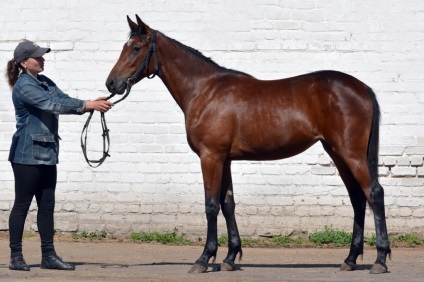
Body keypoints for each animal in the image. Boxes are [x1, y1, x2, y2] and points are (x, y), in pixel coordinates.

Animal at [105, 14, 390, 274]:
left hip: (350, 153)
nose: (111, 83)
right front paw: (230, 258)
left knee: (374, 193)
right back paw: (350, 260)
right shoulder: (225, 159)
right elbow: (227, 204)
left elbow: (211, 205)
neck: (204, 90)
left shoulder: (211, 157)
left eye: (136, 48)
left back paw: (380, 260)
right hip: (337, 153)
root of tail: (362, 88)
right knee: (357, 198)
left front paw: (204, 259)